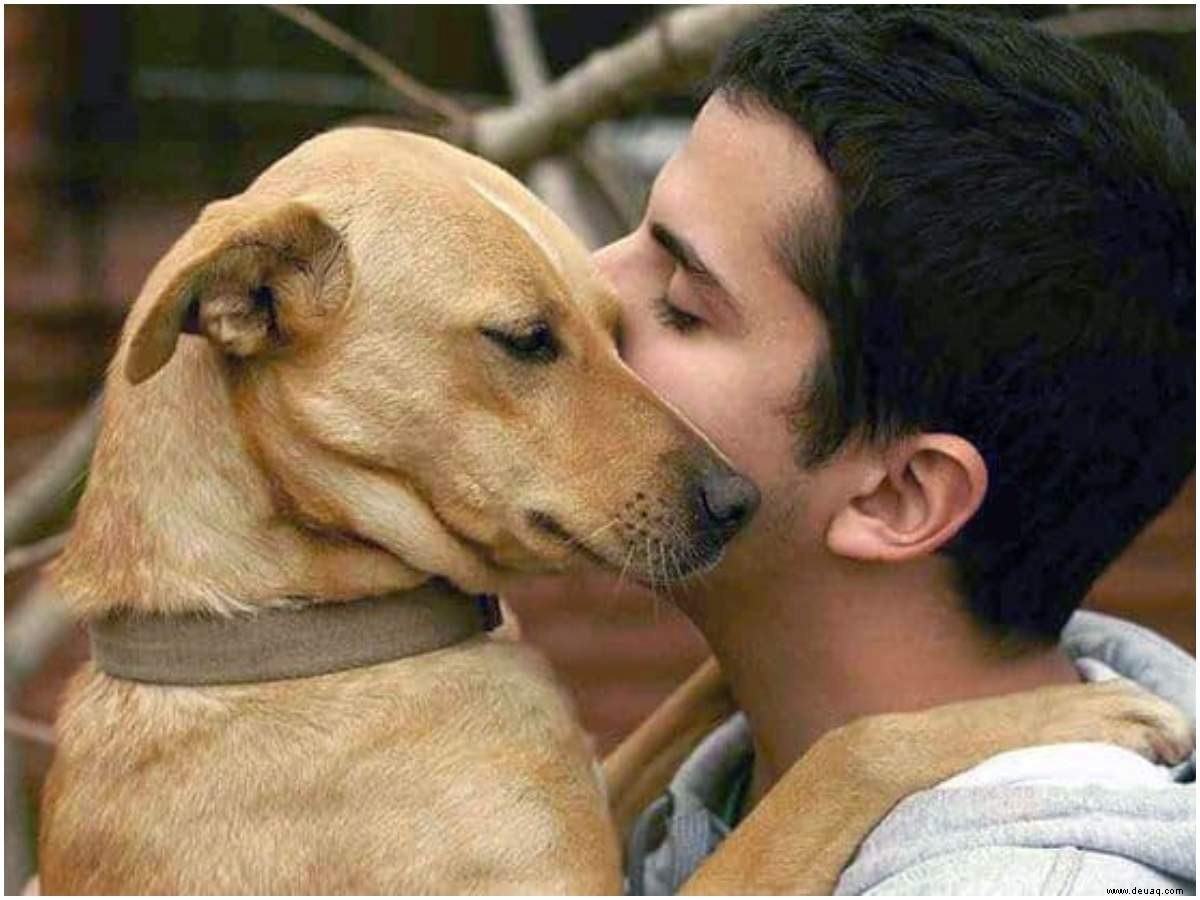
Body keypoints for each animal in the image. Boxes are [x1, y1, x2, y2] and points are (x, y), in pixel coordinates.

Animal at [37, 127, 1190, 897]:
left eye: (622, 323)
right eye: (525, 341)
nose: (738, 502)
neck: (291, 625)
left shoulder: (594, 786)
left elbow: (705, 703)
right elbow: (847, 751)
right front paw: (1085, 713)